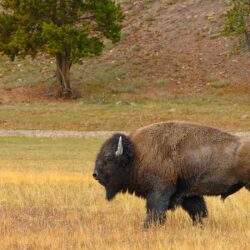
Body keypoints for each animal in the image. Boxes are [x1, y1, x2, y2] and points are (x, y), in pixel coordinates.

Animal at [93, 122, 249, 228]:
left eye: (108, 158)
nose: (95, 174)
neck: (137, 154)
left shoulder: (159, 191)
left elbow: (155, 212)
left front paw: (145, 228)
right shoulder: (188, 194)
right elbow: (198, 211)